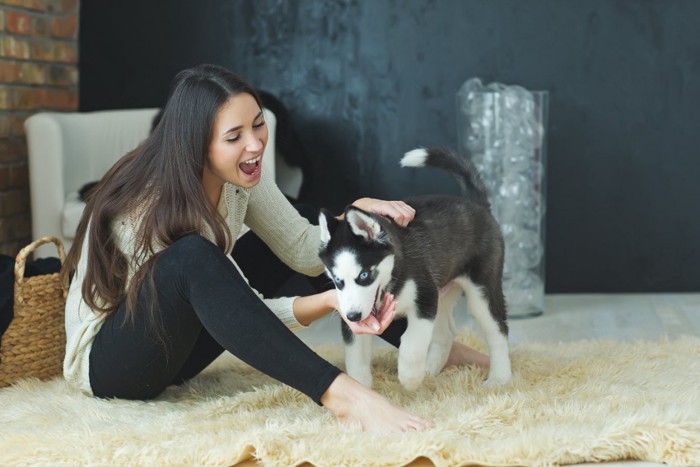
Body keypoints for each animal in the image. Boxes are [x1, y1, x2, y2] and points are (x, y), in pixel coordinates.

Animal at [316, 147, 508, 392]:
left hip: (481, 289)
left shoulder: (425, 299)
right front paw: (361, 389)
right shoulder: (354, 321)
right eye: (338, 281)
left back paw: (499, 378)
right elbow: (356, 357)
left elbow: (412, 342)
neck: (393, 276)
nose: (354, 315)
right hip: (443, 291)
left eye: (364, 275)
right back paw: (431, 370)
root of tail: (478, 205)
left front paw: (409, 377)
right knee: (446, 333)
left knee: (498, 330)